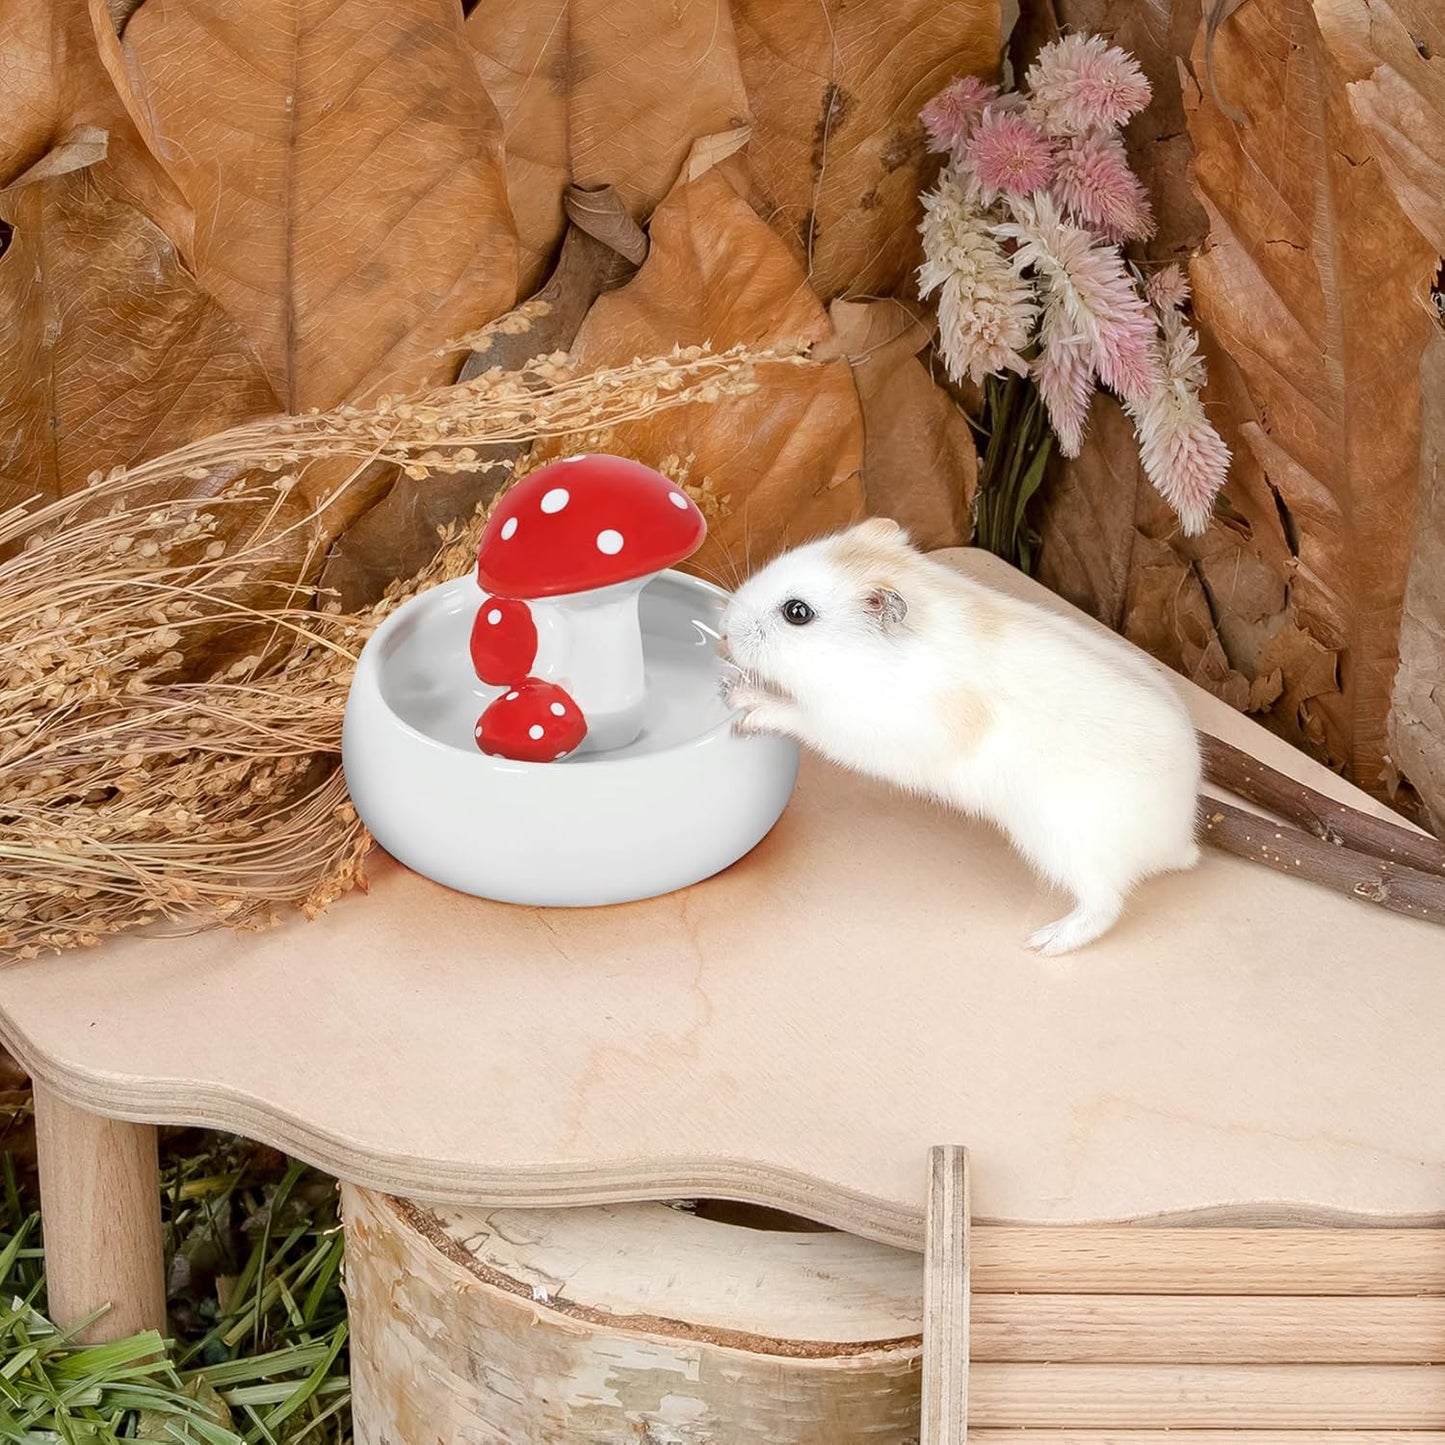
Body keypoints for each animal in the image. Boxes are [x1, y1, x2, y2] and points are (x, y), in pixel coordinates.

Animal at [718, 518, 1202, 956]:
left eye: (797, 613)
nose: (722, 629)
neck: (867, 659)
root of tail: (1178, 837)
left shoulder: (853, 727)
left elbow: (796, 715)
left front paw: (744, 700)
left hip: (1071, 846)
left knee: (1105, 907)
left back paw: (1043, 943)